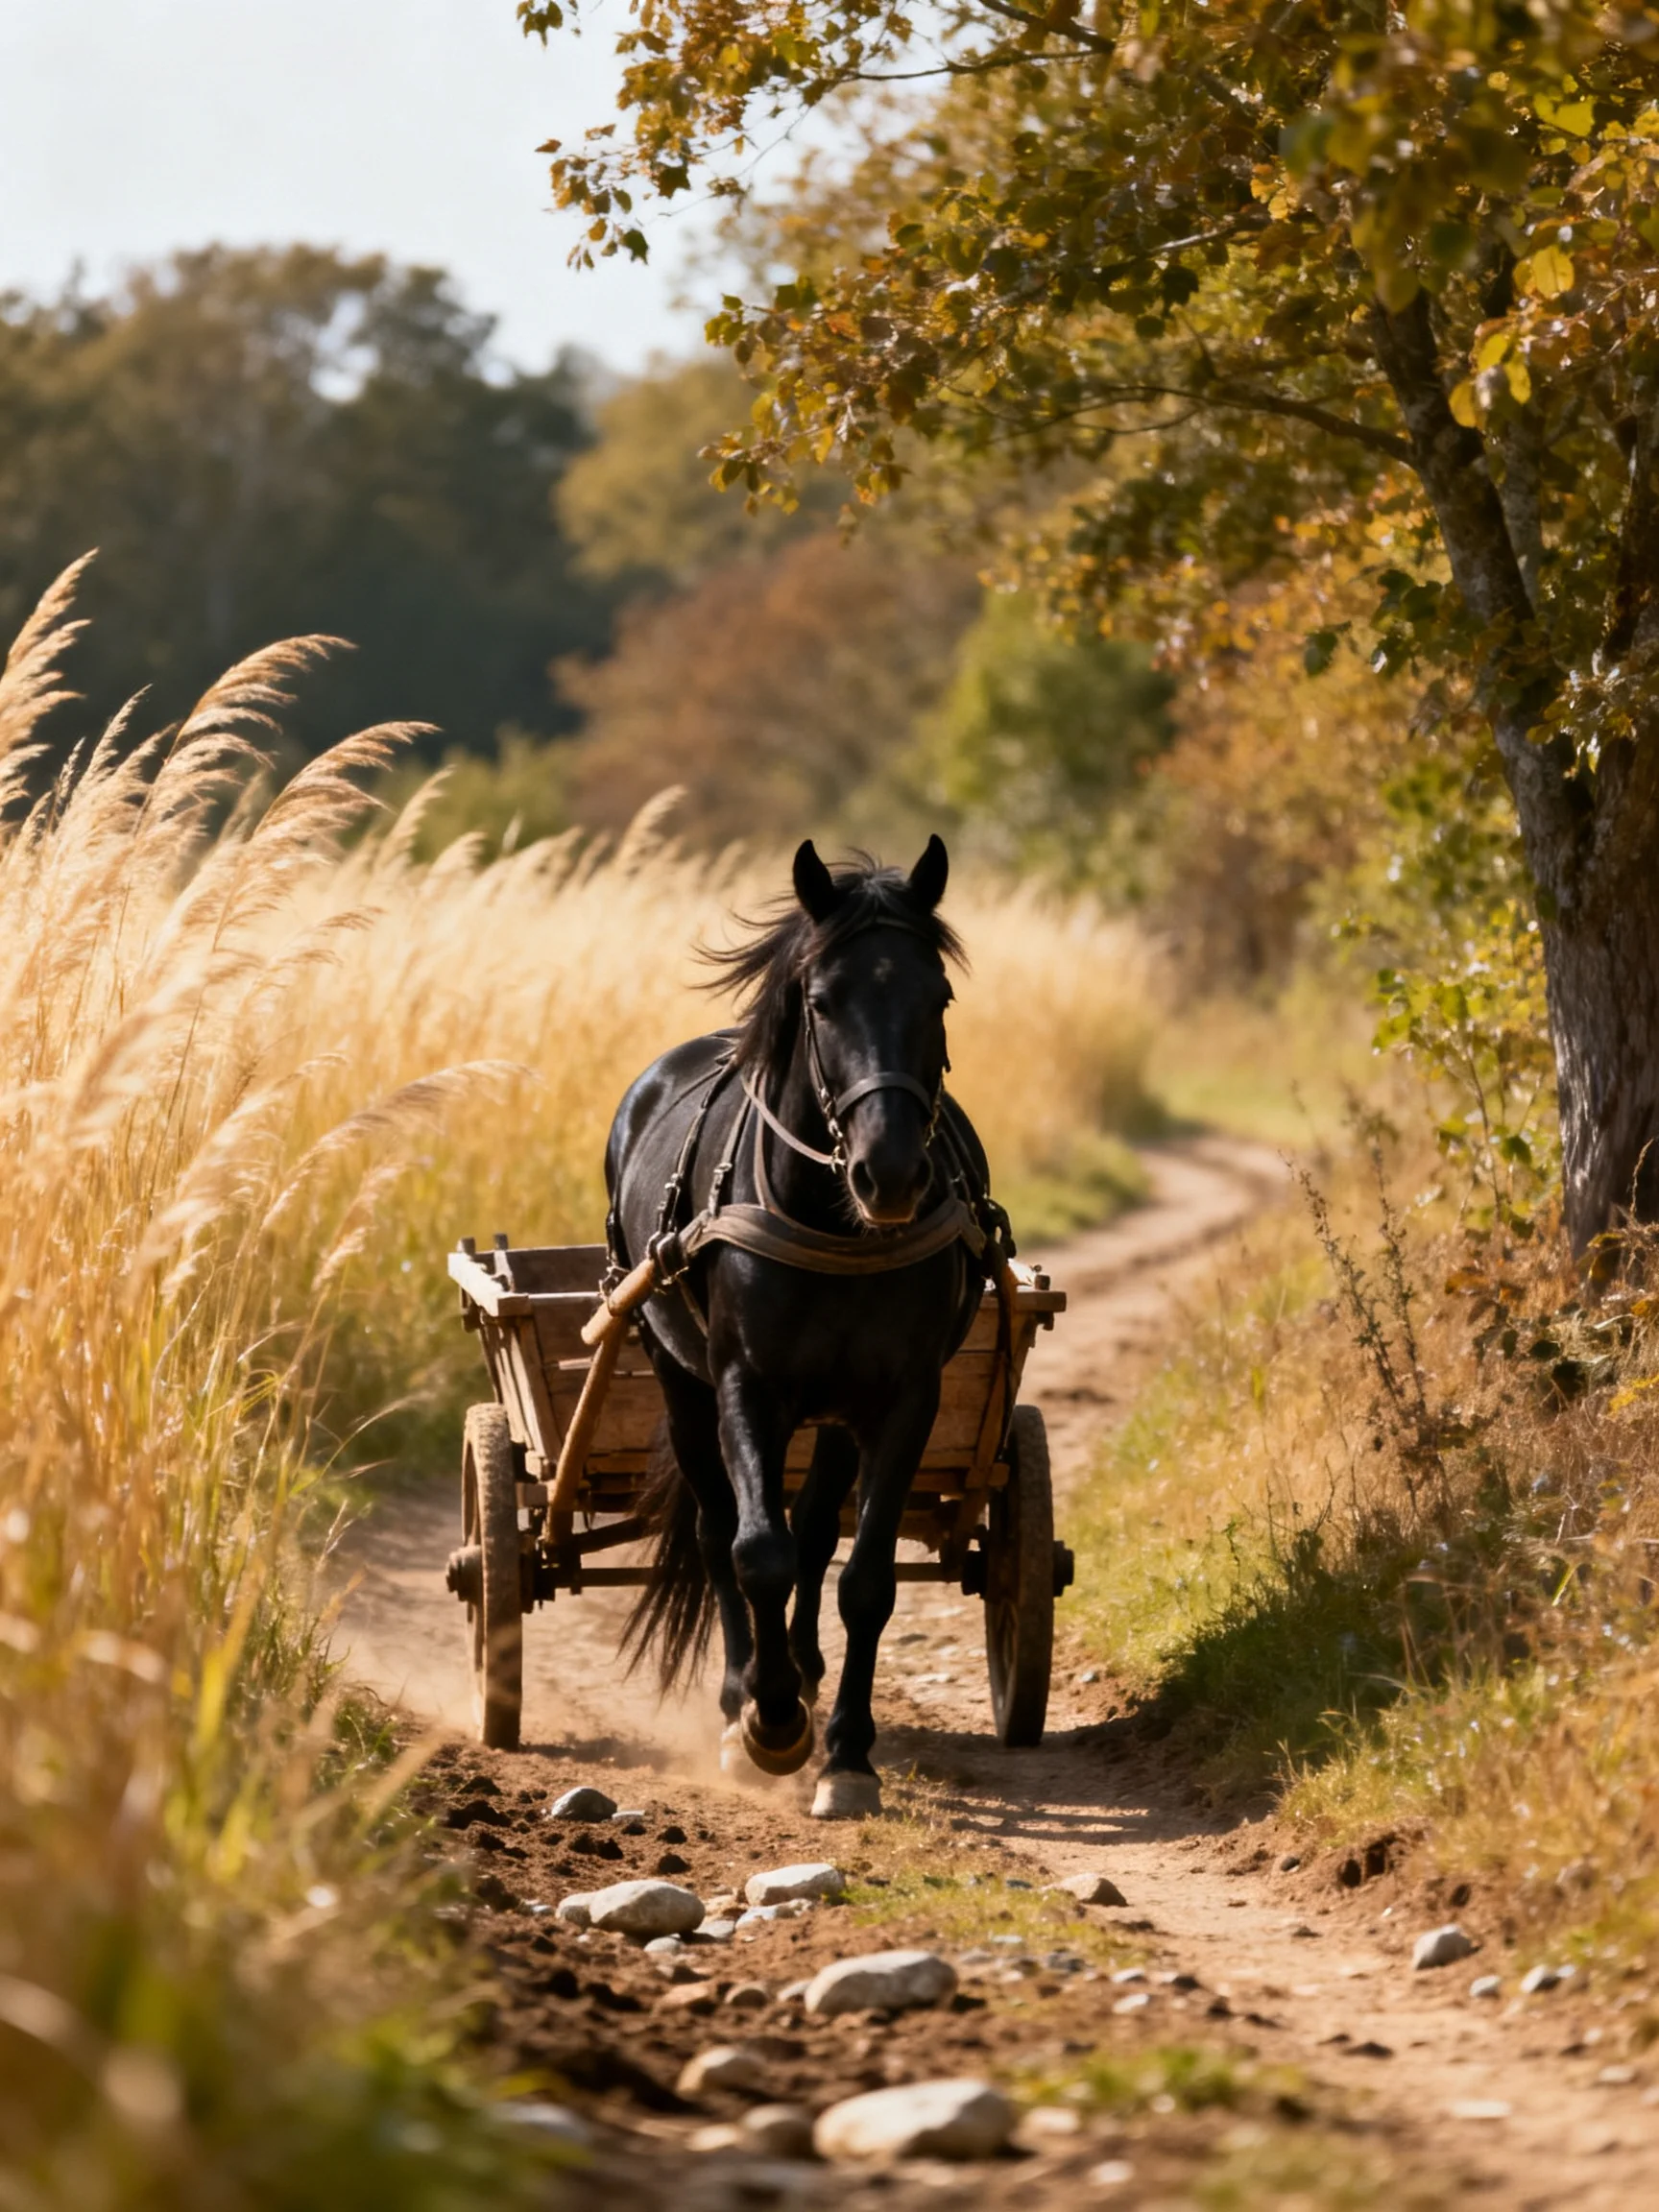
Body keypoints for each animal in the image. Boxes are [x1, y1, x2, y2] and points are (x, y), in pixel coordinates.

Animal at [603, 835, 1009, 1818]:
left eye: (938, 996)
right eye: (823, 1002)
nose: (890, 1175)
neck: (833, 1224)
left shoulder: (902, 1400)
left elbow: (863, 1579)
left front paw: (848, 1754)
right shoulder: (747, 1387)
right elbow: (757, 1551)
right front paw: (771, 1720)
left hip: (834, 1412)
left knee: (819, 1532)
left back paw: (806, 1667)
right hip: (678, 1381)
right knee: (719, 1530)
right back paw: (744, 1692)